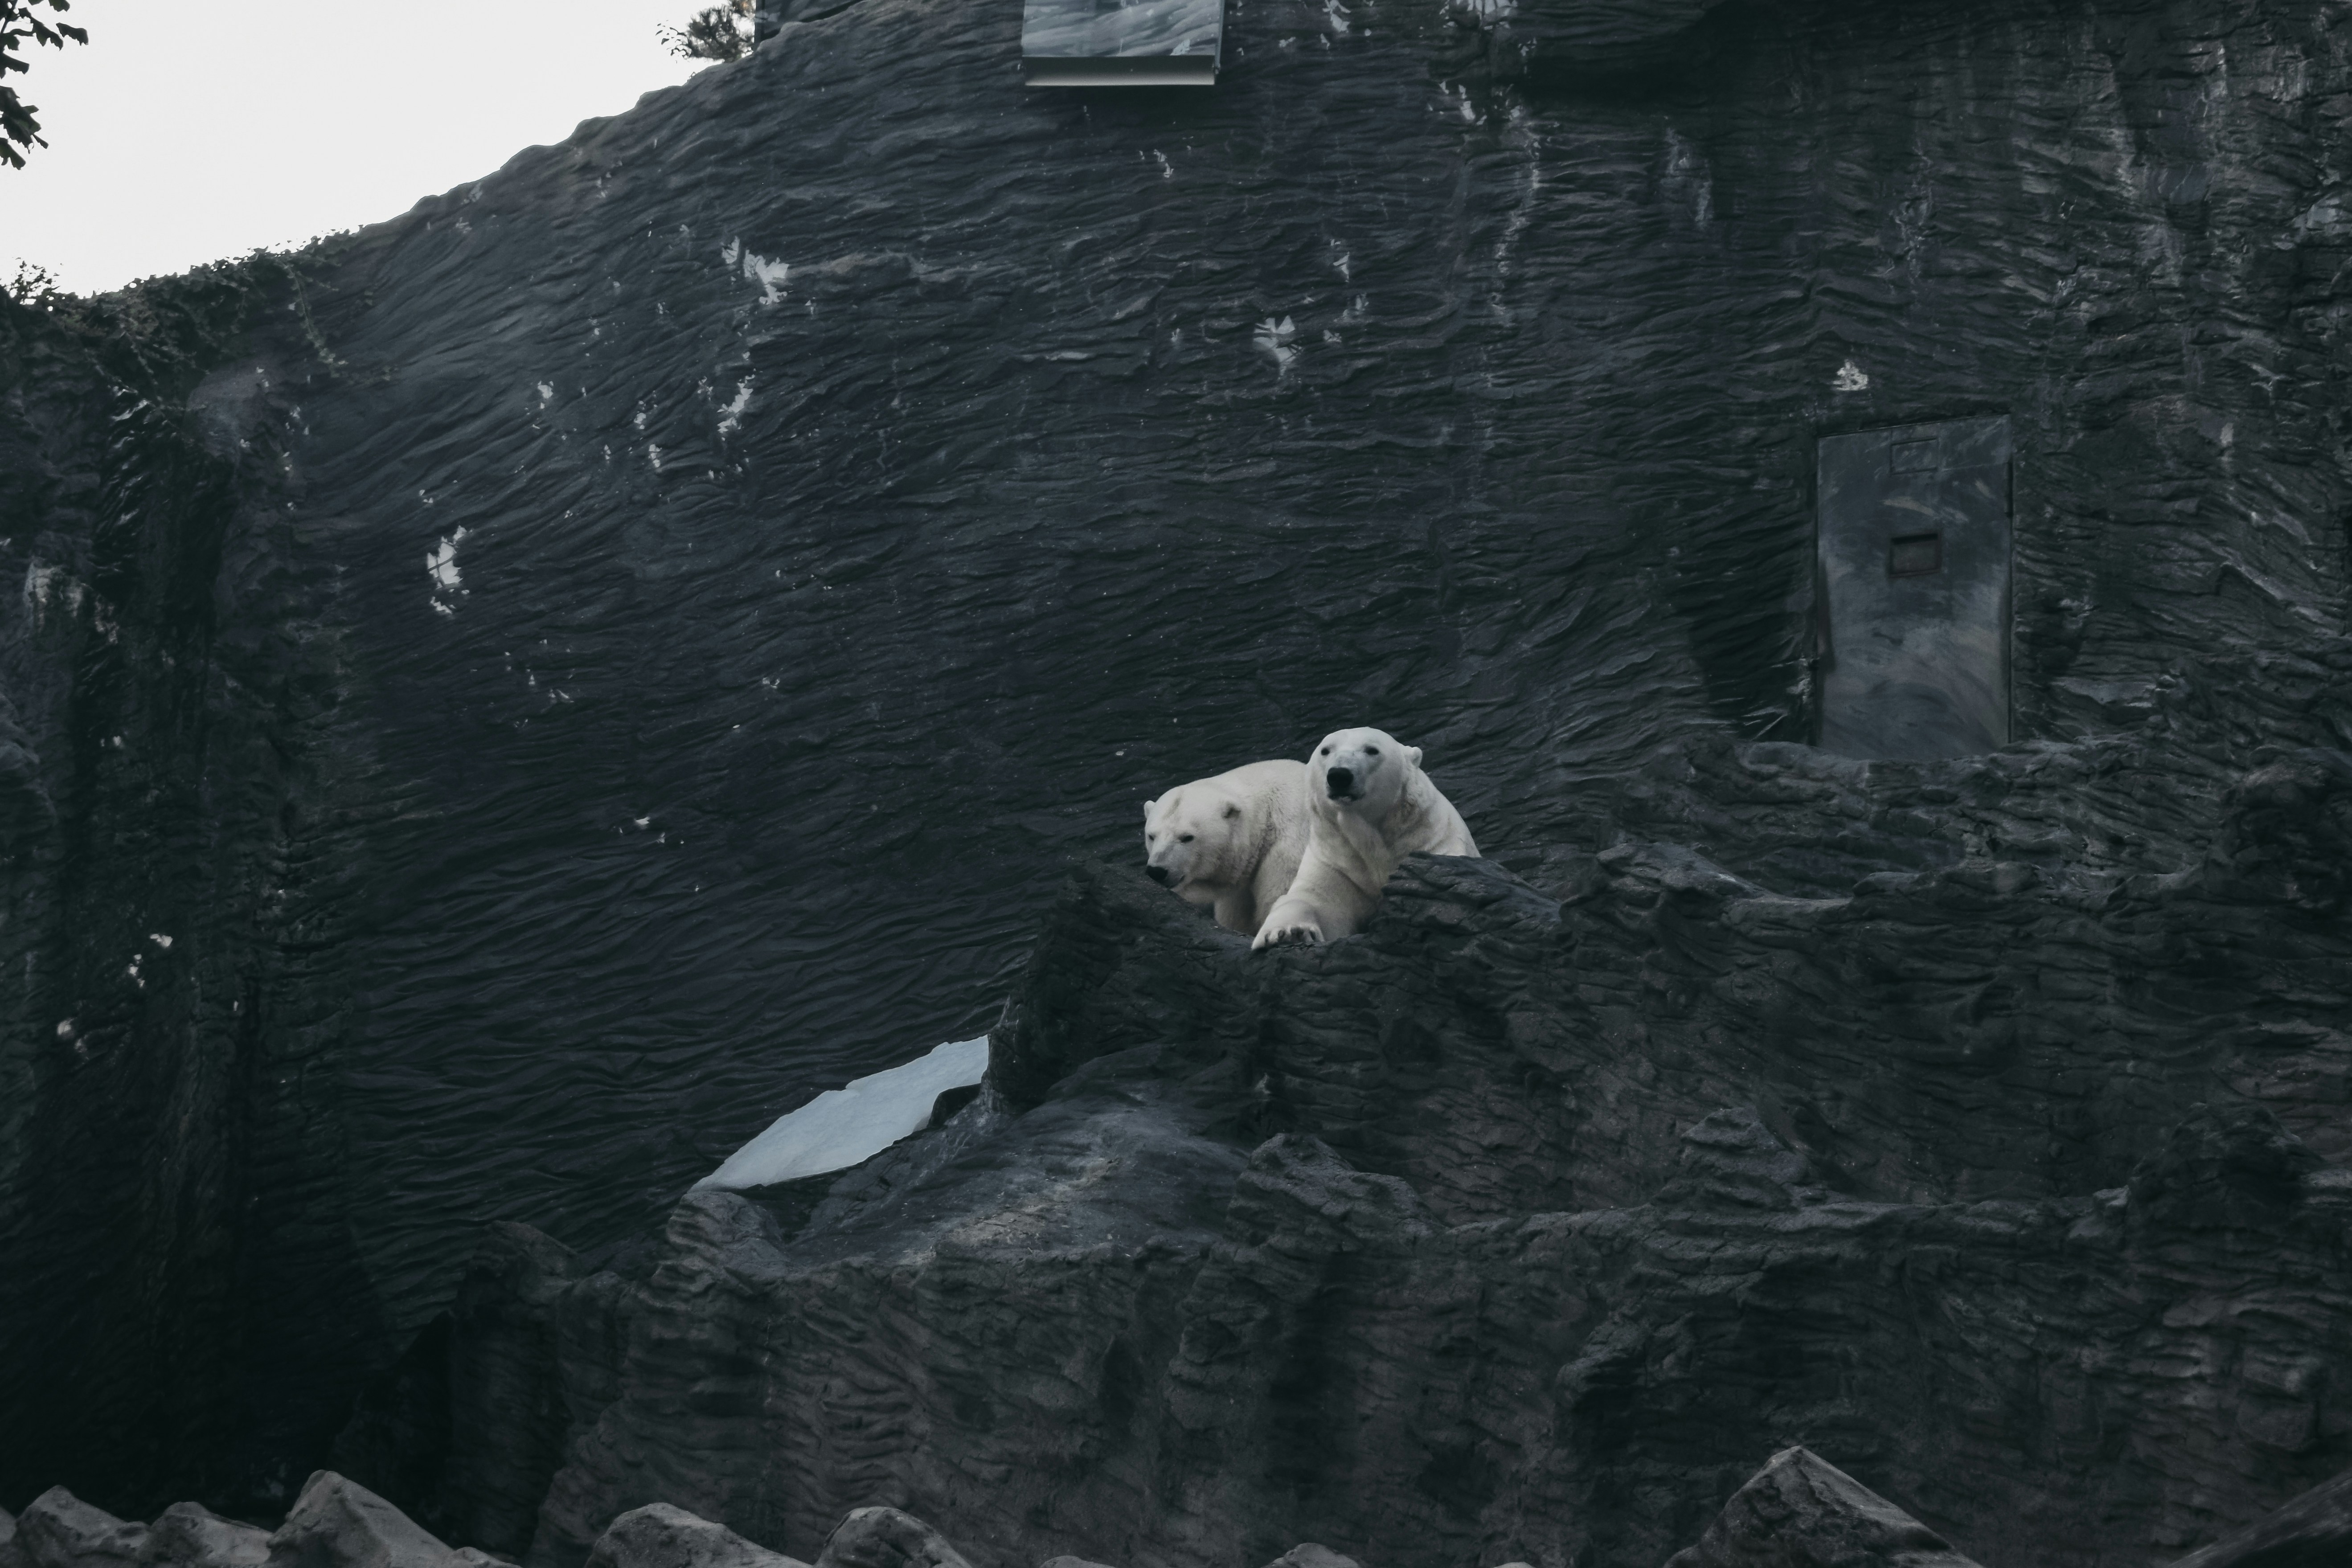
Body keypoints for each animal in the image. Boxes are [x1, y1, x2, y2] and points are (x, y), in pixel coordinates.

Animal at [1251, 726, 1478, 950]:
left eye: (1372, 750)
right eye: (1326, 750)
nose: (1339, 775)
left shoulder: (1437, 845)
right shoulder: (1337, 861)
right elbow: (1314, 898)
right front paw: (1288, 933)